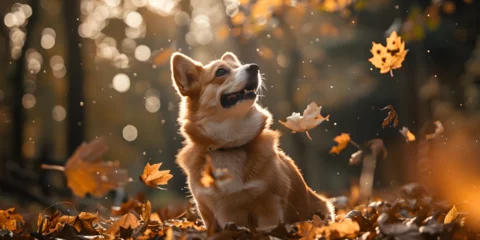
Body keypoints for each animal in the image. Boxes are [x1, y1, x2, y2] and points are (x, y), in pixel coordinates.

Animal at [170, 51, 334, 230]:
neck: (229, 145)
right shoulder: (207, 212)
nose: (254, 67)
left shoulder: (268, 208)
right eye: (220, 71)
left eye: (240, 65)